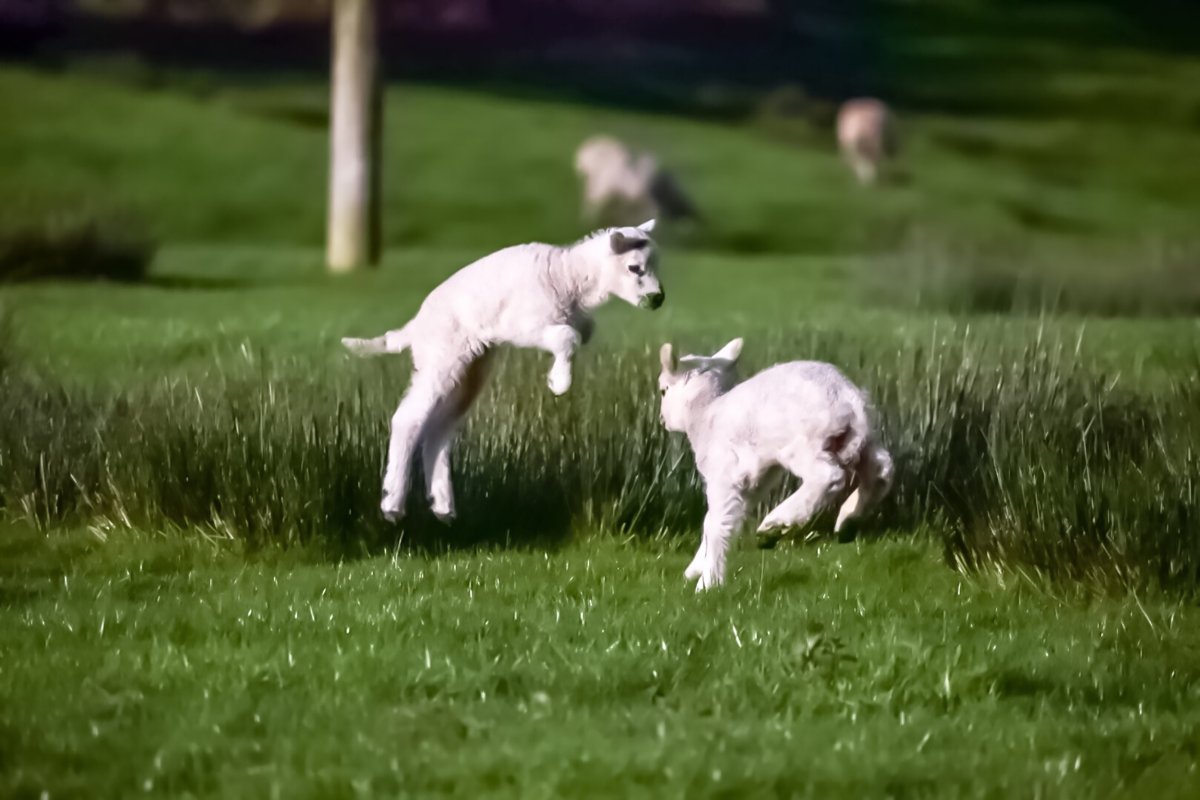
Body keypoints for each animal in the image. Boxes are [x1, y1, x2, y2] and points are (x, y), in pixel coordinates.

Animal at [343, 220, 667, 525]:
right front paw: (559, 383)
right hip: (439, 357)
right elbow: (567, 337)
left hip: (471, 367)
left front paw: (559, 376)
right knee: (408, 417)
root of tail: (414, 326)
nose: (658, 298)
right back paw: (393, 504)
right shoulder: (524, 325)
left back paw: (443, 506)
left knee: (438, 428)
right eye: (634, 267)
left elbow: (577, 335)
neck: (568, 276)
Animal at [657, 335, 892, 592]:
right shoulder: (754, 481)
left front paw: (708, 583)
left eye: (663, 391)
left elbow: (715, 523)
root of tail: (850, 400)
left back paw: (777, 523)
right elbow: (726, 518)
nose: (662, 420)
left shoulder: (723, 473)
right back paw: (848, 519)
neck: (705, 413)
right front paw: (696, 568)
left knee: (828, 476)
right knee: (882, 470)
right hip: (859, 441)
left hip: (804, 443)